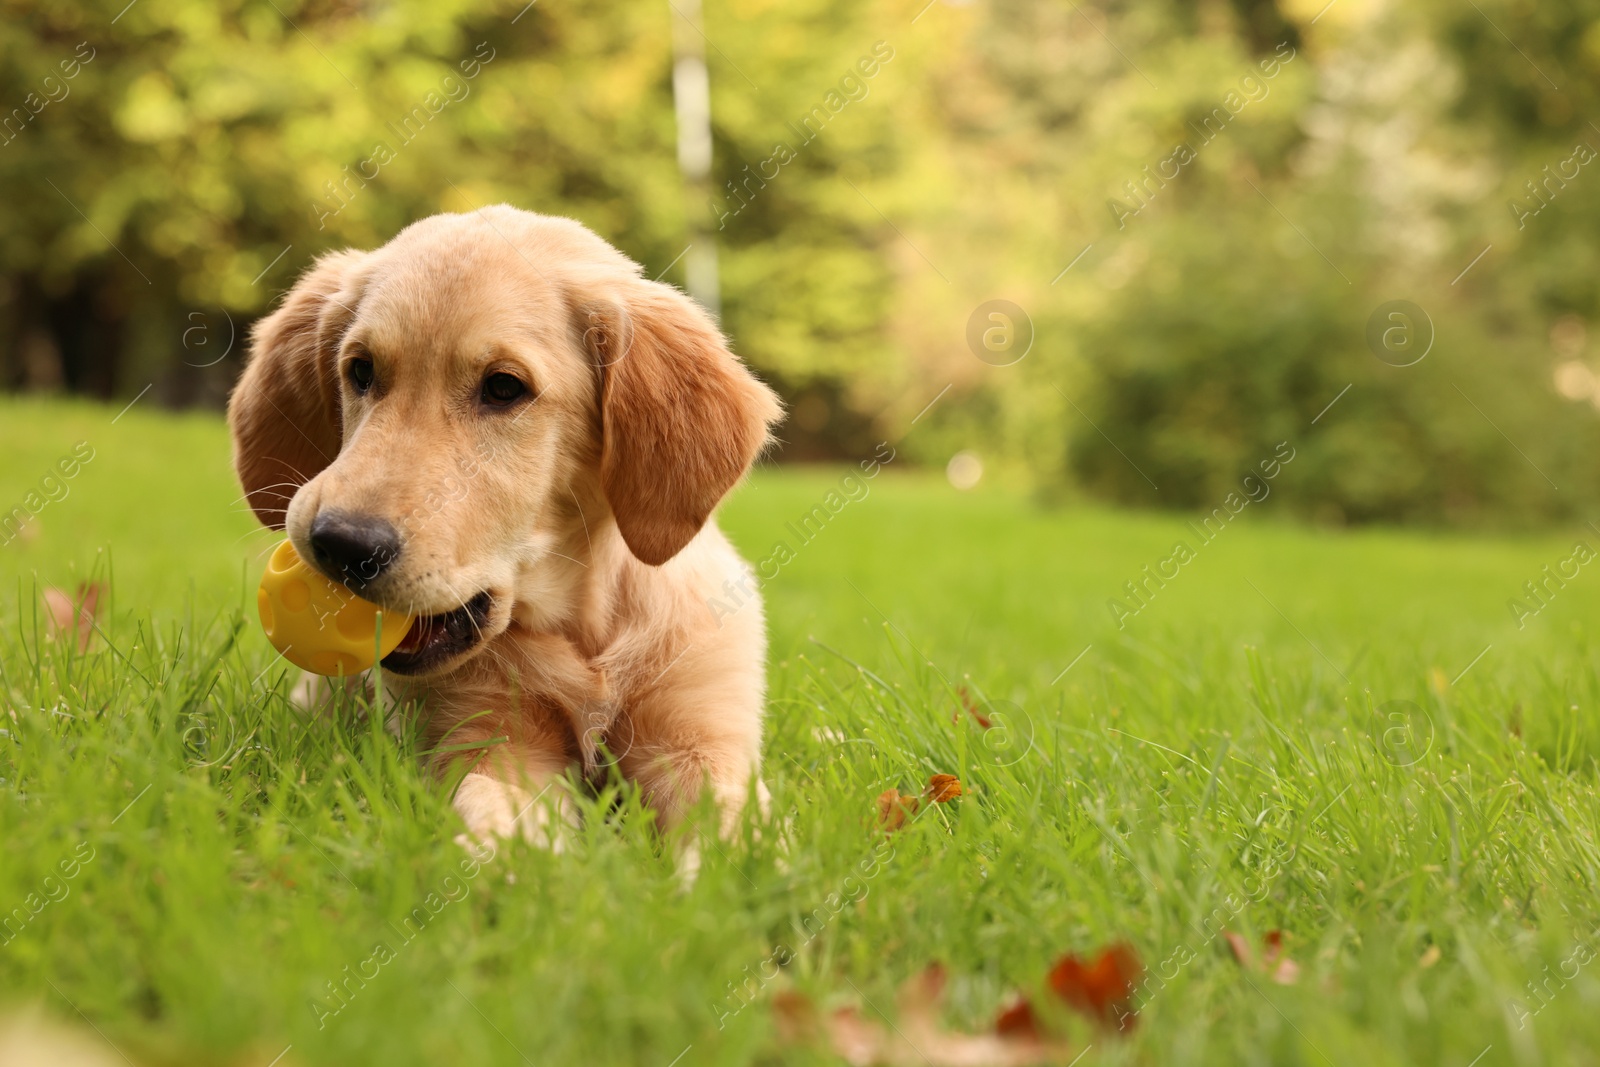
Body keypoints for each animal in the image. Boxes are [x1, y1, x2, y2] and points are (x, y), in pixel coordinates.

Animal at [233, 206, 787, 844]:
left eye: (503, 387)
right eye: (361, 370)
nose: (341, 545)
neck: (583, 623)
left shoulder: (702, 743)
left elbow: (729, 846)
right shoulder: (492, 740)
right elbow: (501, 825)